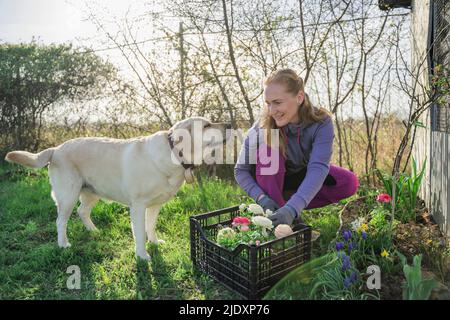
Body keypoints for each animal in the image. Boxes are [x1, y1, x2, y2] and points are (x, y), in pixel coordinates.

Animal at [2, 117, 229, 260]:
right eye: (207, 125)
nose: (229, 123)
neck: (174, 153)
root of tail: (56, 148)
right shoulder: (138, 206)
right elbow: (139, 233)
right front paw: (143, 256)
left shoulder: (155, 205)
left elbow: (151, 226)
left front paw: (155, 243)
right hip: (68, 195)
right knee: (60, 221)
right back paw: (63, 244)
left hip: (91, 192)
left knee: (82, 211)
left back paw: (93, 231)